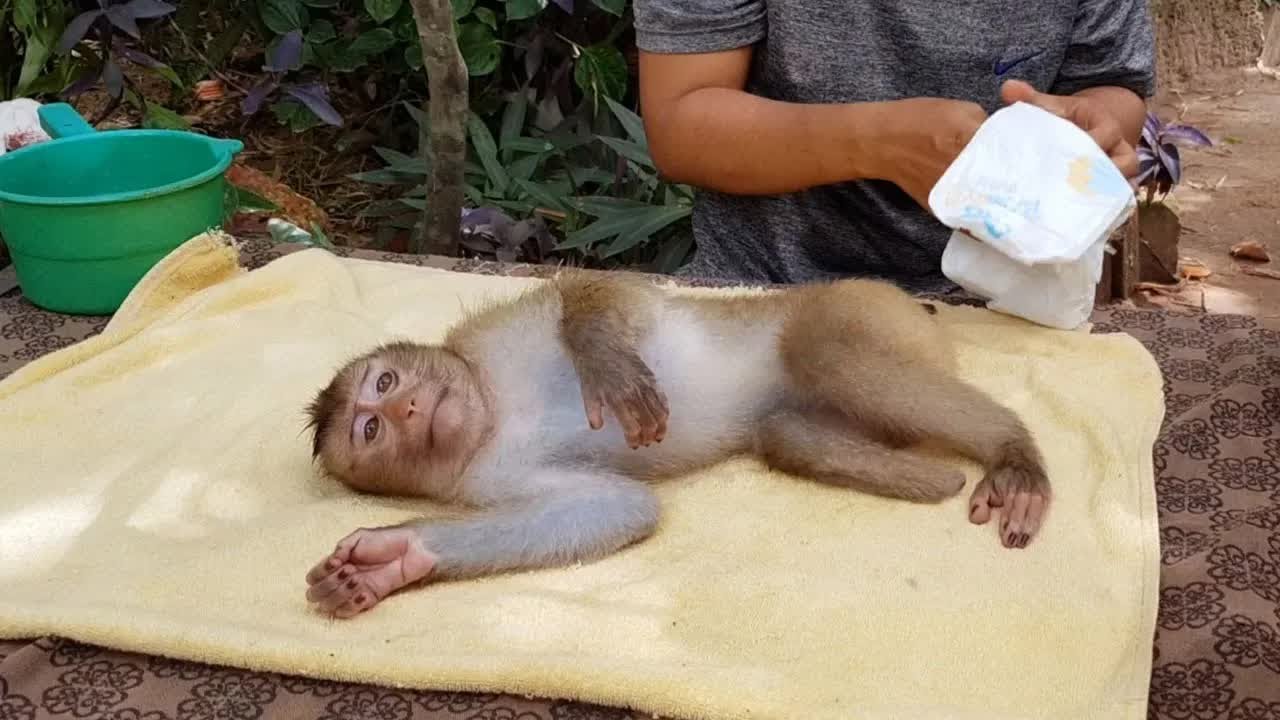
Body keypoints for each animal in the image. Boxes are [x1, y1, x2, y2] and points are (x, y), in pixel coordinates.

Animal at [301, 272, 1050, 619]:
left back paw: (1011, 450)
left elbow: (602, 294)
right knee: (783, 431)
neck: (492, 411)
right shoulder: (485, 477)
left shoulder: (492, 336)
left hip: (867, 307)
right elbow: (614, 508)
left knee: (825, 349)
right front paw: (395, 558)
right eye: (370, 430)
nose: (407, 408)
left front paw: (606, 364)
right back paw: (932, 478)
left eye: (388, 383)